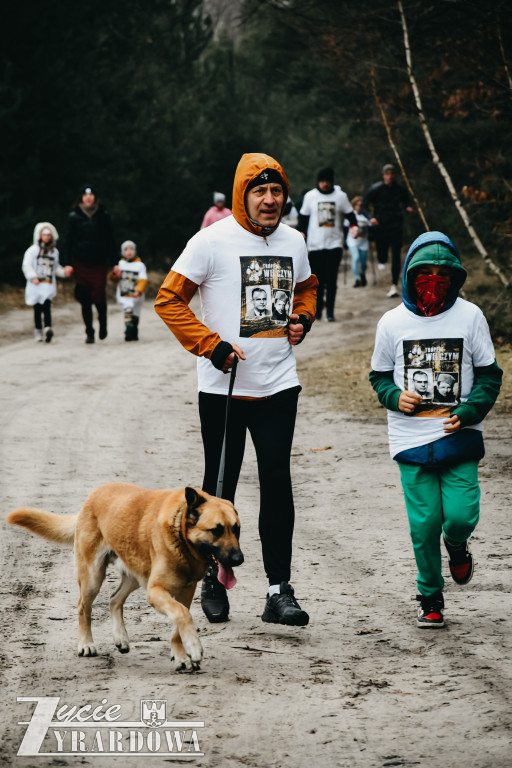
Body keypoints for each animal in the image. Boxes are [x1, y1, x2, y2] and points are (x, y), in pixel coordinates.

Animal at [5, 486, 242, 672]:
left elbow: (179, 623)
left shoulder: (186, 592)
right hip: (93, 578)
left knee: (114, 599)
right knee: (84, 606)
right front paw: (193, 647)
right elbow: (182, 615)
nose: (239, 559)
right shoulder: (155, 591)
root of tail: (93, 494)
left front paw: (182, 656)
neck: (180, 533)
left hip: (135, 575)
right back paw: (86, 644)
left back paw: (120, 637)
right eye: (216, 530)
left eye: (236, 529)